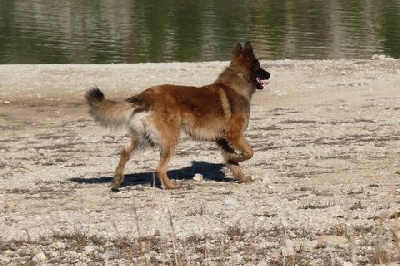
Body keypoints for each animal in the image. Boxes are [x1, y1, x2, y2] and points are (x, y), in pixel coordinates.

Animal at [86, 41, 270, 190]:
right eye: (259, 66)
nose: (269, 74)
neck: (238, 81)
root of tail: (146, 96)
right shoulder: (234, 135)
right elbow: (249, 152)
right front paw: (237, 158)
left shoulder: (223, 140)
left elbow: (234, 163)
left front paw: (241, 176)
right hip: (170, 140)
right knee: (159, 168)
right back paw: (170, 186)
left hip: (144, 139)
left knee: (124, 154)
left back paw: (117, 181)